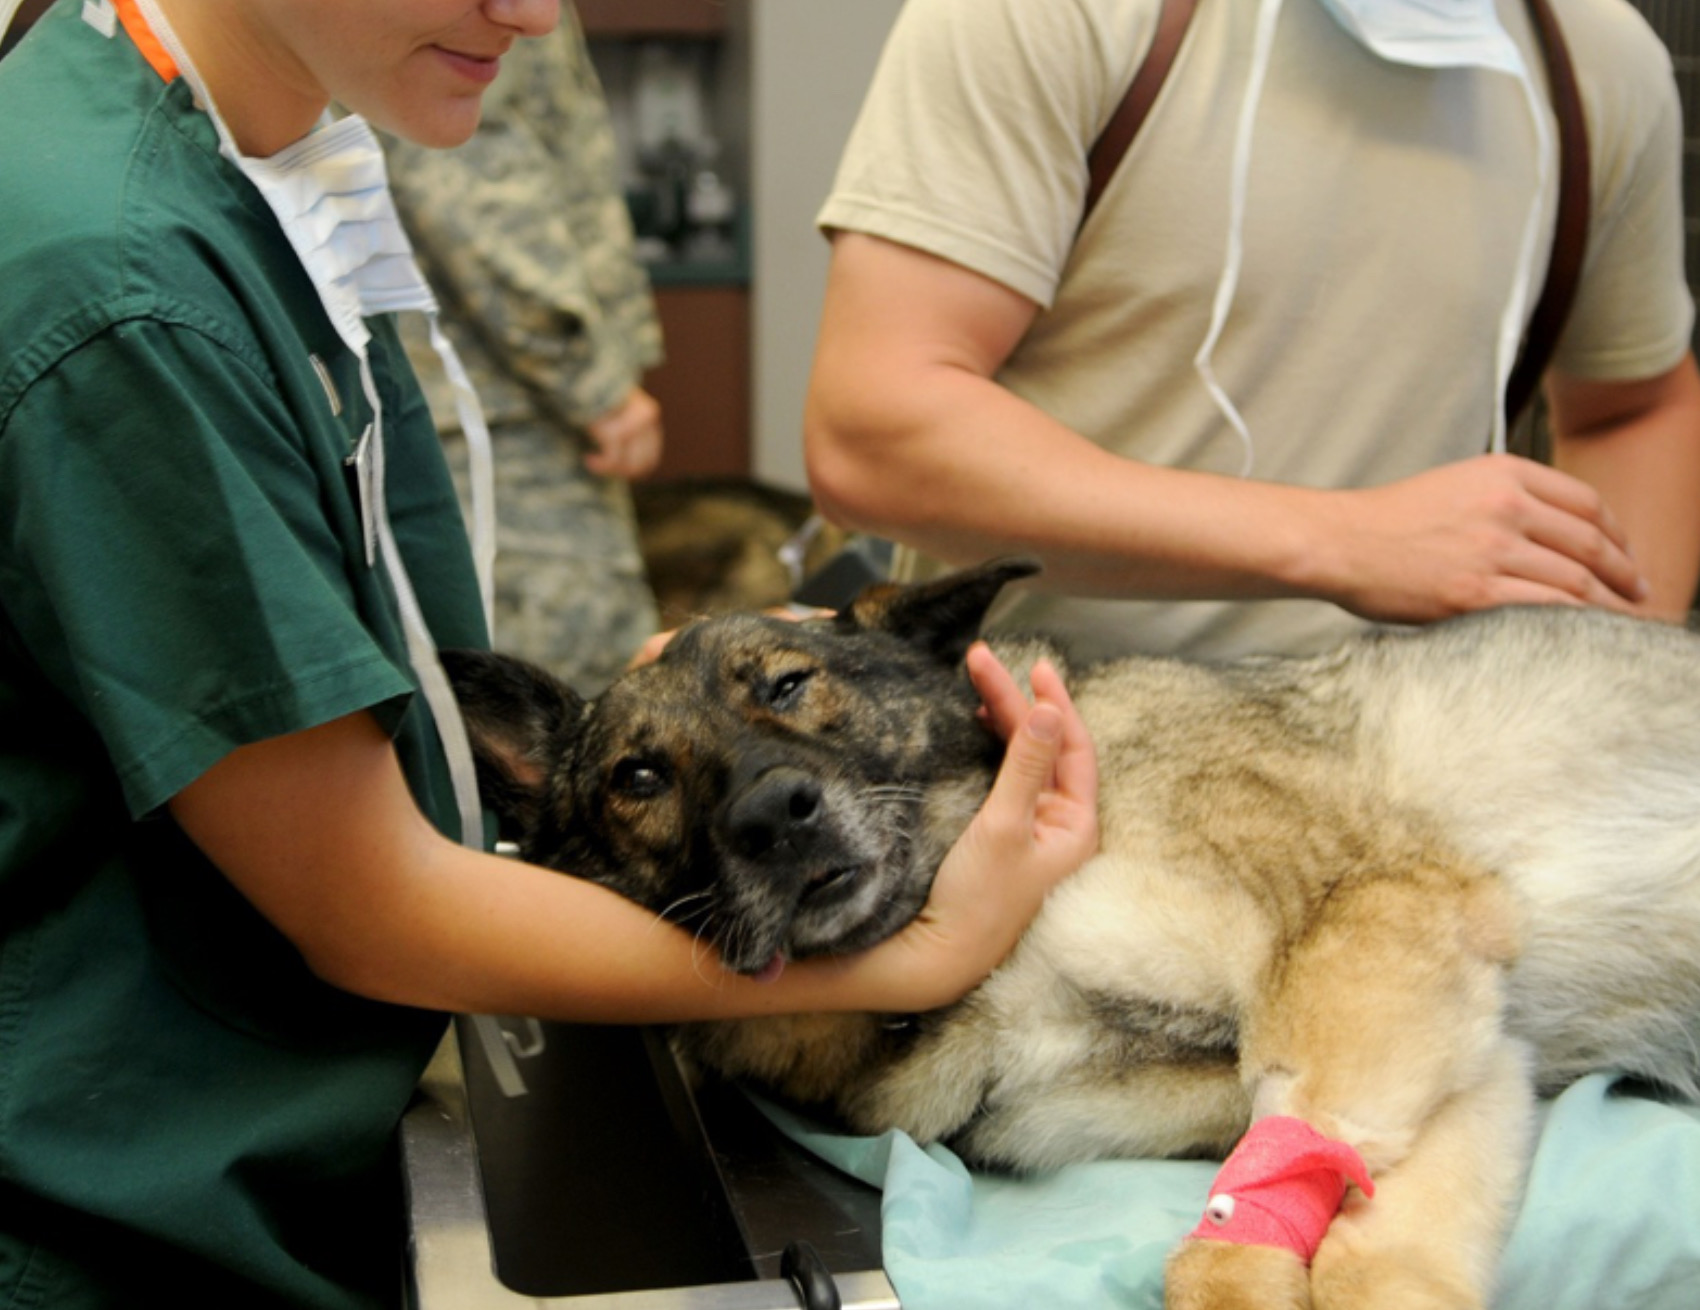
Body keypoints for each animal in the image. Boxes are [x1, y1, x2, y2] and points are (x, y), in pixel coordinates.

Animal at [445, 560, 1700, 1310]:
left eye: (790, 683)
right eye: (637, 777)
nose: (771, 814)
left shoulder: (1379, 923)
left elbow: (1282, 1211)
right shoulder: (1458, 1049)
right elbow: (1362, 1224)